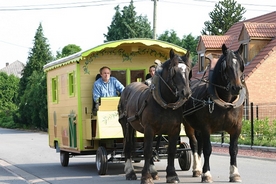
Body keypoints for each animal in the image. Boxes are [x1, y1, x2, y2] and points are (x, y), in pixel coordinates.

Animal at [118, 49, 192, 184]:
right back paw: (130, 172)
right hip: (126, 125)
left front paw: (172, 175)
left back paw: (153, 171)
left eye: (188, 70)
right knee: (128, 147)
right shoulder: (149, 128)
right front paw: (145, 177)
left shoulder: (174, 129)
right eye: (174, 71)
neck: (165, 103)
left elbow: (171, 151)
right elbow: (147, 151)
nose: (186, 93)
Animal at [182, 43, 247, 183]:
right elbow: (207, 150)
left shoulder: (236, 128)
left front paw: (235, 174)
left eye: (241, 65)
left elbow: (233, 149)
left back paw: (198, 170)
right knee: (194, 144)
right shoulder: (206, 128)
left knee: (199, 144)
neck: (226, 103)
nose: (236, 88)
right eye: (226, 66)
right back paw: (197, 168)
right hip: (188, 125)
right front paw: (206, 174)